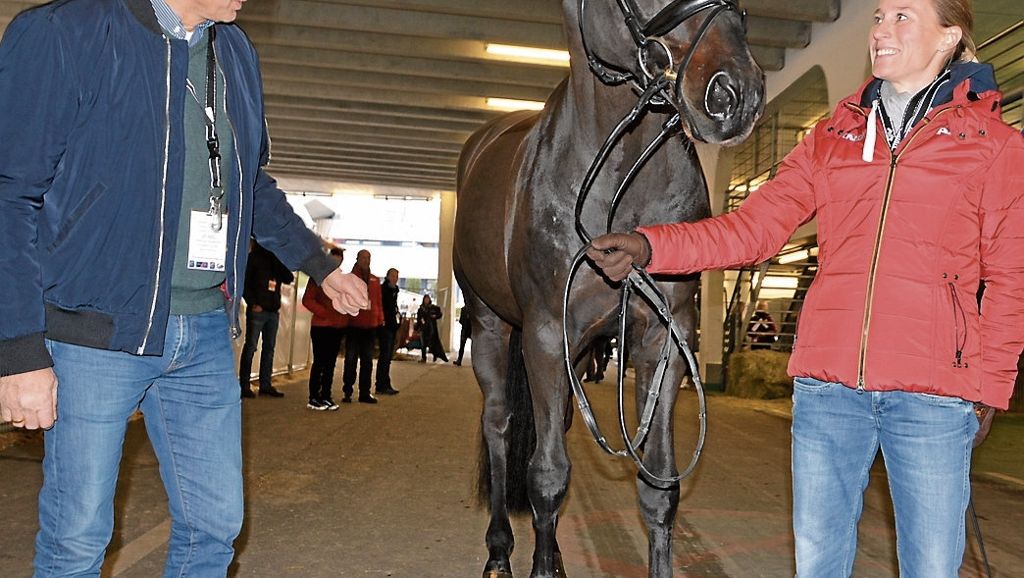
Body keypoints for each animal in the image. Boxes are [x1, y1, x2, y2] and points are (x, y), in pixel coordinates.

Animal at [454, 2, 761, 573]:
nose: (735, 92)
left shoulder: (664, 339)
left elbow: (658, 488)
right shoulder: (544, 335)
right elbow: (547, 476)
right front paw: (538, 565)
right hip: (490, 327)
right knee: (500, 427)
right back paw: (500, 552)